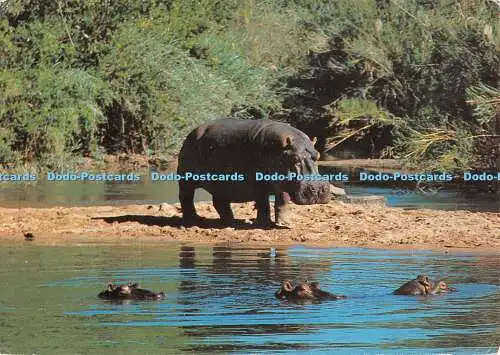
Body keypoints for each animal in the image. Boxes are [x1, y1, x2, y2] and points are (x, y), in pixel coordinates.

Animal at [177, 118, 332, 227]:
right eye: (294, 158)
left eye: (318, 156)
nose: (318, 189)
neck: (277, 149)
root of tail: (193, 132)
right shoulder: (258, 183)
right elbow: (263, 203)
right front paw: (264, 223)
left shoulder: (282, 183)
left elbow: (283, 202)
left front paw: (286, 223)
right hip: (186, 178)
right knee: (186, 197)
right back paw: (193, 220)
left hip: (221, 184)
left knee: (219, 202)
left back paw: (231, 221)